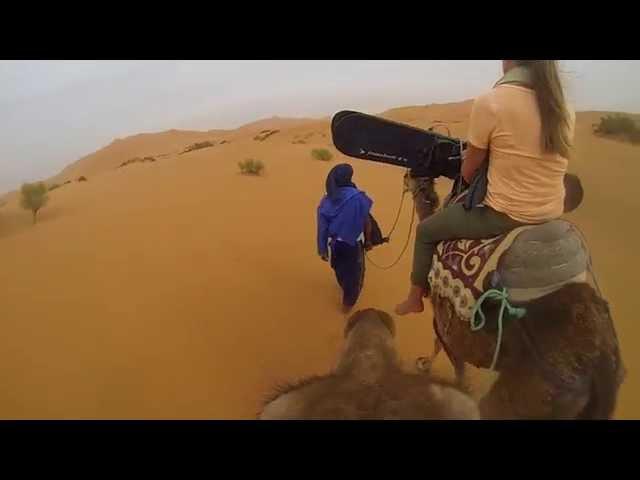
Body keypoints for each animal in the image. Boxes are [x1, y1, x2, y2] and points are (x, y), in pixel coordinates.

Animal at [404, 174, 624, 418]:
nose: (406, 176)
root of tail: (602, 368)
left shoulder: (447, 323)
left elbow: (452, 360)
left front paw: (425, 365)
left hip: (527, 394)